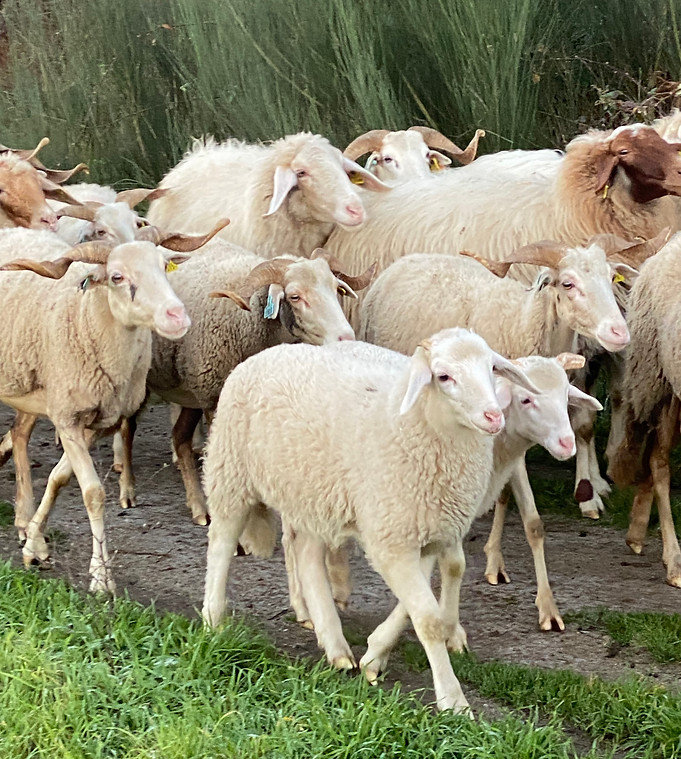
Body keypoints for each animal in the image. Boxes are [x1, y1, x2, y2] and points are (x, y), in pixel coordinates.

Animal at [0, 220, 227, 592]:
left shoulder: (97, 422)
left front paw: (34, 546)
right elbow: (93, 493)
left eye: (164, 265)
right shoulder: (67, 417)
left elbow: (58, 478)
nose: (177, 316)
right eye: (117, 277)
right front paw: (101, 577)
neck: (87, 316)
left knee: (19, 436)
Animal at [116, 245, 374, 523]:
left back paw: (198, 508)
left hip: (193, 390)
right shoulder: (215, 399)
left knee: (180, 439)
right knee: (128, 428)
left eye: (336, 288)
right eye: (295, 296)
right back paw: (127, 491)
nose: (346, 337)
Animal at [202, 328, 541, 712]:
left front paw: (374, 656)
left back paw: (335, 647)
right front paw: (452, 699)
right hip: (231, 471)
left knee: (307, 557)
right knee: (222, 542)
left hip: (313, 494)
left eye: (491, 368)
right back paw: (213, 620)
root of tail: (268, 352)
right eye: (443, 377)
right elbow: (428, 619)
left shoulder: (423, 530)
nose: (494, 417)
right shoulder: (392, 538)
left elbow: (421, 602)